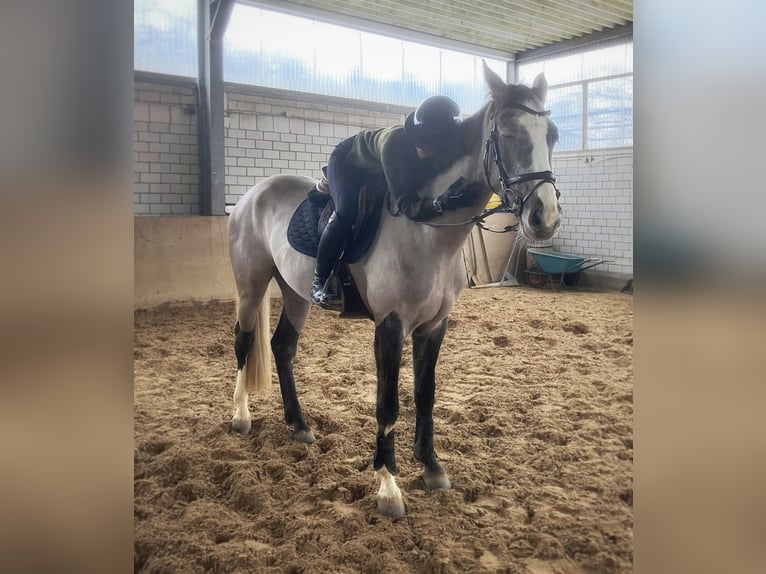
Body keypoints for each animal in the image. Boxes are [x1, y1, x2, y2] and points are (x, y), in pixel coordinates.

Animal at [227, 62, 561, 517]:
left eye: (553, 135)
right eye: (508, 133)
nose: (545, 218)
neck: (429, 232)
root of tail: (252, 194)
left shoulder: (434, 327)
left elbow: (425, 395)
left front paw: (432, 468)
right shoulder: (390, 325)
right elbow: (388, 404)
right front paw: (388, 487)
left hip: (294, 293)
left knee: (282, 346)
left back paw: (299, 424)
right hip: (251, 284)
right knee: (244, 342)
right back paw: (240, 417)